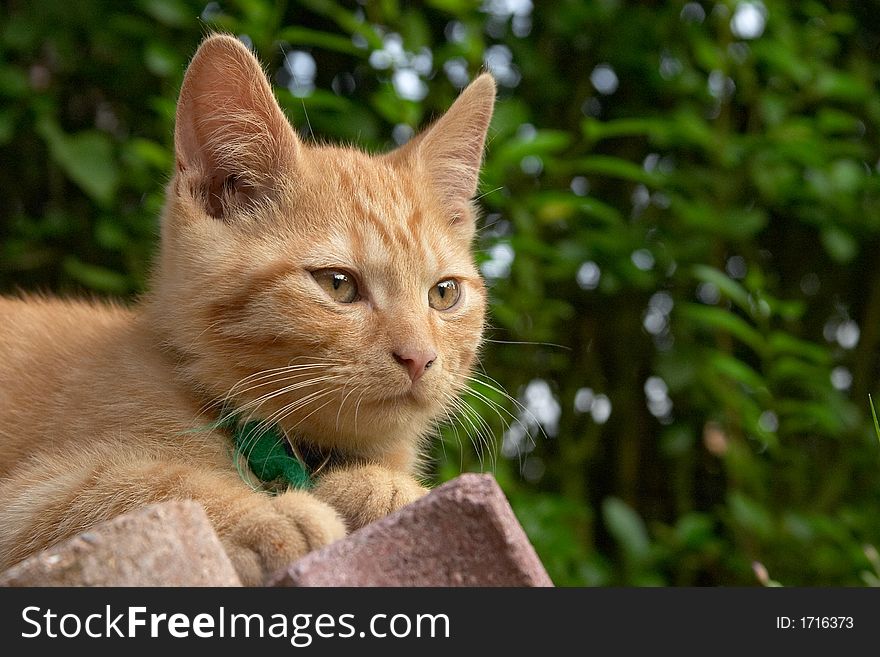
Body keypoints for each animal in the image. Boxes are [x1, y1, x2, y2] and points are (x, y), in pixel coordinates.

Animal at [0, 33, 496, 584]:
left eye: (444, 293)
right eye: (338, 285)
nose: (419, 357)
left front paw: (380, 486)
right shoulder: (24, 500)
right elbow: (127, 483)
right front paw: (264, 516)